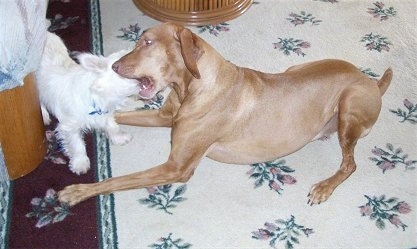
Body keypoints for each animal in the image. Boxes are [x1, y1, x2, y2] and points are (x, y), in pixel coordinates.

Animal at [36, 32, 138, 174]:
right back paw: (44, 115)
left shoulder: (106, 113)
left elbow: (112, 126)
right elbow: (76, 144)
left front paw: (119, 138)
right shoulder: (69, 126)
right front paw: (80, 163)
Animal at [57, 22, 390, 206]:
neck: (191, 87)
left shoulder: (176, 167)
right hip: (296, 67)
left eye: (147, 42)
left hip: (349, 106)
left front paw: (77, 191)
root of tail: (370, 79)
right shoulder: (165, 118)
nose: (113, 66)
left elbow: (118, 180)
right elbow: (115, 117)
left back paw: (324, 187)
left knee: (350, 164)